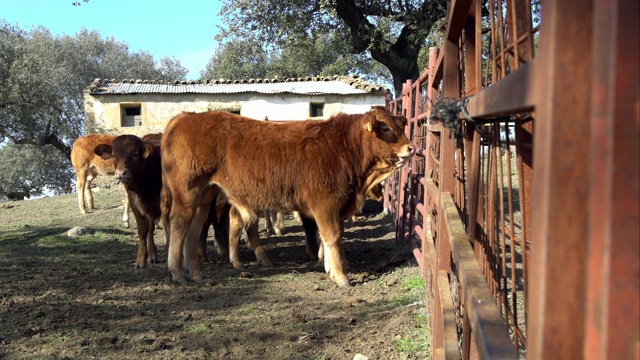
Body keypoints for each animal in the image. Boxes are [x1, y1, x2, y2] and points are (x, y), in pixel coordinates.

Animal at [160, 105, 416, 286]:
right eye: (385, 128)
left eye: (399, 126)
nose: (411, 148)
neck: (343, 147)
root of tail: (183, 118)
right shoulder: (325, 204)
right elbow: (333, 236)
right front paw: (340, 275)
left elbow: (331, 238)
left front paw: (332, 267)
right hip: (186, 193)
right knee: (180, 225)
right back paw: (177, 271)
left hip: (205, 196)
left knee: (194, 229)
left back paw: (195, 272)